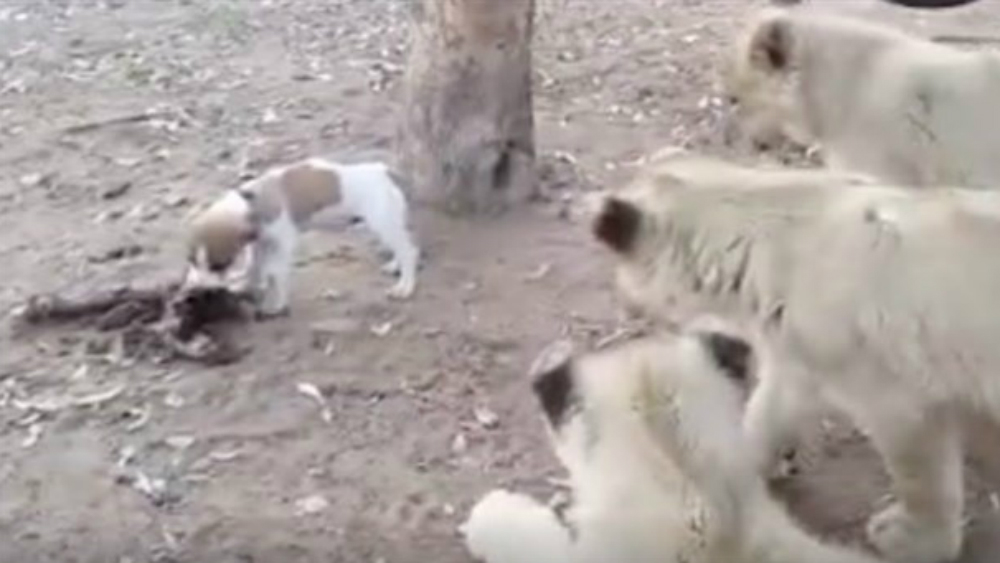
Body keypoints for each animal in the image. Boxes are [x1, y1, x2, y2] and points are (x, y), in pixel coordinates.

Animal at [591, 146, 1000, 563]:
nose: (626, 309)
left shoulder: (886, 387)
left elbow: (918, 470)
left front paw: (915, 539)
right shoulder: (799, 353)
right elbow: (770, 409)